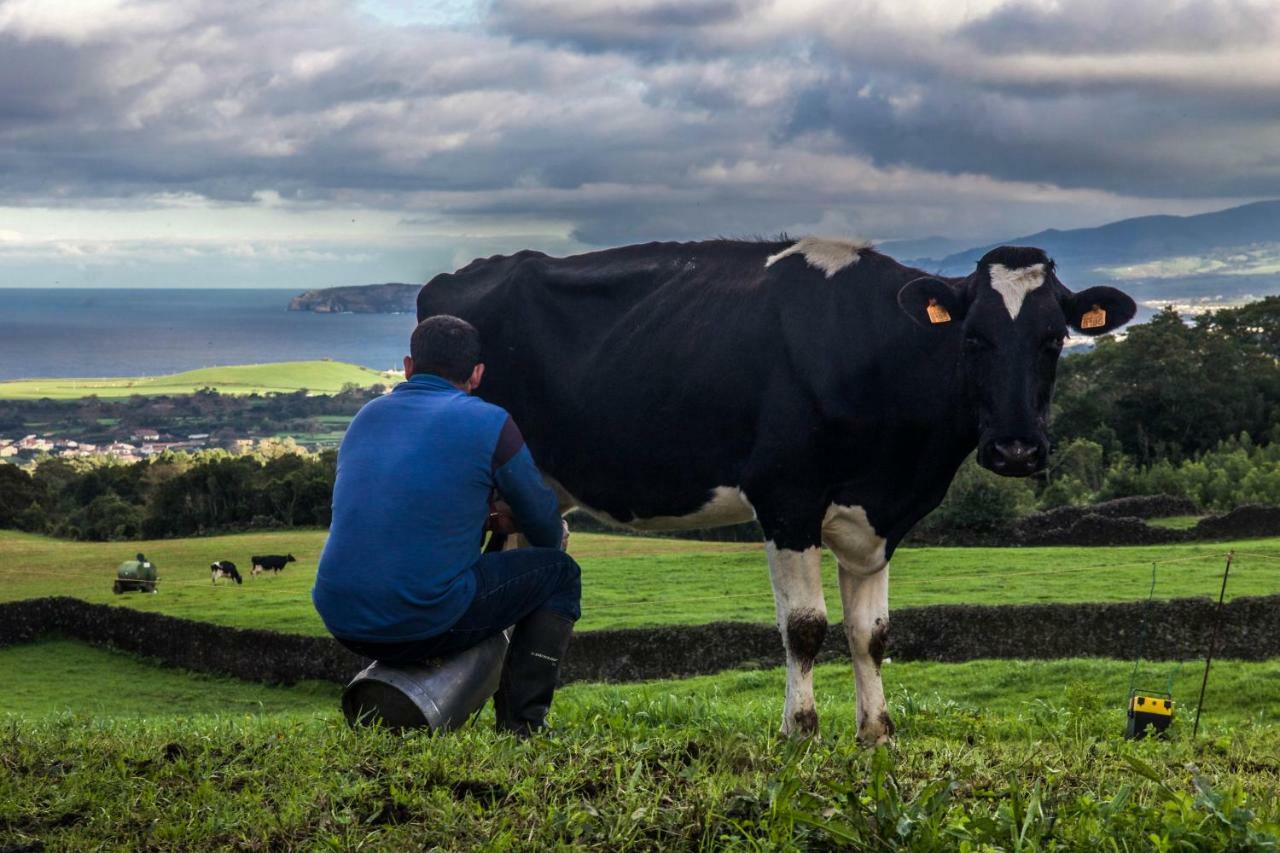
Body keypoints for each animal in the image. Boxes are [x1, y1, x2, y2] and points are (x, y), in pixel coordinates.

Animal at [414, 235, 1136, 742]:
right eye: (974, 337)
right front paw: (800, 730)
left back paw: (509, 723)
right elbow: (807, 626)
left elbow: (872, 633)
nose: (1016, 449)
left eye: (1053, 339)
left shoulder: (875, 517)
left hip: (533, 495)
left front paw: (877, 733)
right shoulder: (787, 499)